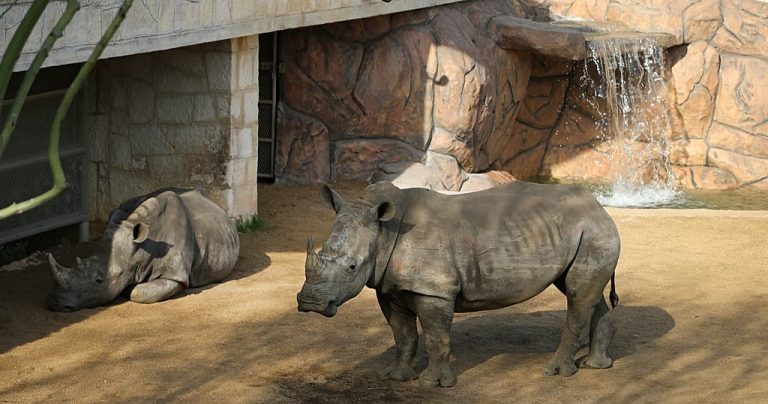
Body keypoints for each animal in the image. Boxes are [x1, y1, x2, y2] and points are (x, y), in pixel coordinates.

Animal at [47, 188, 240, 312]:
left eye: (99, 280)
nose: (57, 302)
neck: (143, 248)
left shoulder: (175, 275)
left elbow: (140, 292)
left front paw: (130, 287)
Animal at [297, 181, 620, 386]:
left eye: (352, 267)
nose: (310, 303)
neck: (383, 232)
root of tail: (599, 207)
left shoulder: (434, 289)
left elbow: (435, 336)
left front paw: (433, 384)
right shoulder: (388, 287)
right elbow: (403, 335)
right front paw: (397, 377)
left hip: (593, 233)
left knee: (577, 295)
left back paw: (555, 371)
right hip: (583, 232)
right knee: (584, 295)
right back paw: (596, 365)